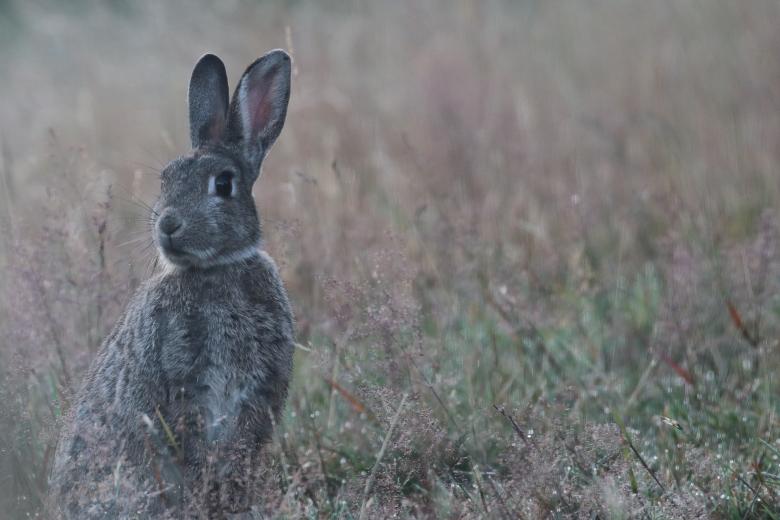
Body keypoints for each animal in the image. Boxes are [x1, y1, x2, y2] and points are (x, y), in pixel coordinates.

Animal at [47, 49, 296, 520]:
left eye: (223, 183)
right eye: (165, 178)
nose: (167, 225)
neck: (216, 269)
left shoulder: (256, 395)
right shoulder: (181, 386)